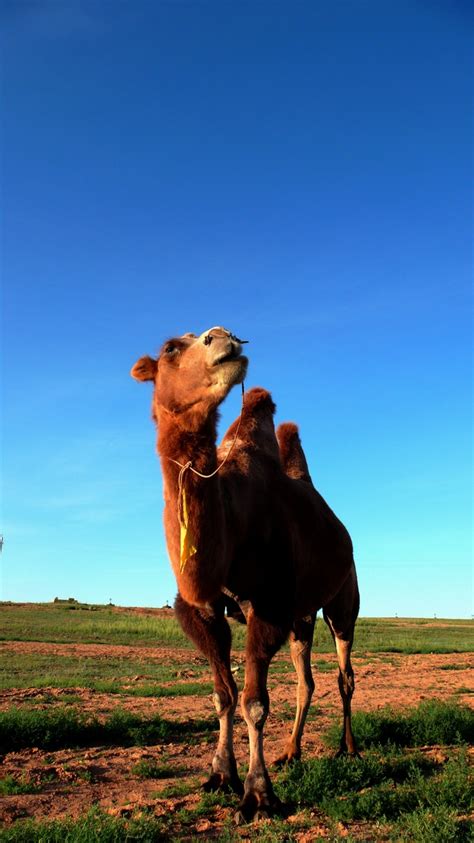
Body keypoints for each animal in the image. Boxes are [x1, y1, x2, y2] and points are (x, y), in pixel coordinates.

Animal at [131, 324, 360, 824]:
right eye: (171, 348)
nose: (224, 338)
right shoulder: (200, 609)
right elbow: (224, 695)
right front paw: (220, 775)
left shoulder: (267, 605)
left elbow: (255, 702)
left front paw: (258, 795)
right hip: (301, 616)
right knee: (306, 681)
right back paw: (291, 752)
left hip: (343, 601)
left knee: (344, 675)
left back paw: (349, 749)